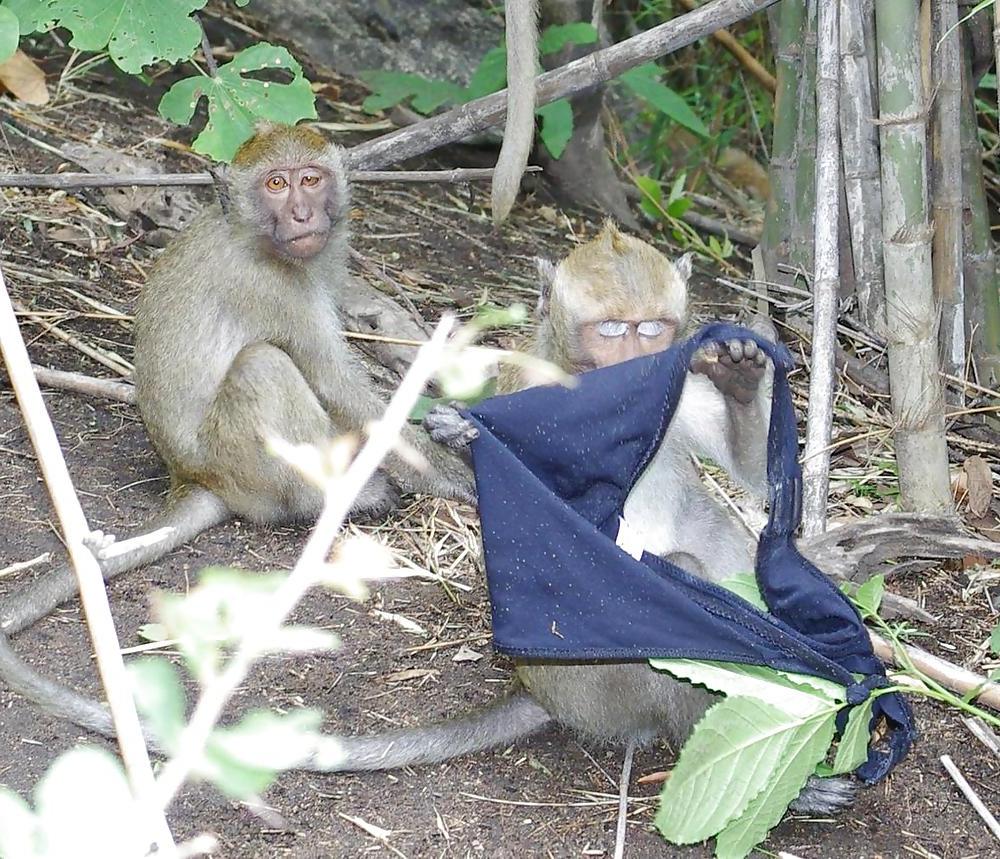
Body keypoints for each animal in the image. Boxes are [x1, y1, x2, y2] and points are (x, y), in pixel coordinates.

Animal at [0, 124, 474, 725]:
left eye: (309, 179)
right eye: (275, 184)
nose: (301, 214)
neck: (254, 235)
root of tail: (192, 478)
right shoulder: (273, 287)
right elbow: (336, 382)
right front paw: (457, 476)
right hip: (242, 463)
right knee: (263, 367)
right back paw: (342, 497)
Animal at [302, 222, 855, 816]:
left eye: (651, 329)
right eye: (611, 330)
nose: (631, 365)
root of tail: (536, 691)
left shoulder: (680, 385)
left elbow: (752, 476)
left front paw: (742, 377)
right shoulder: (526, 394)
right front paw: (464, 436)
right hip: (597, 688)